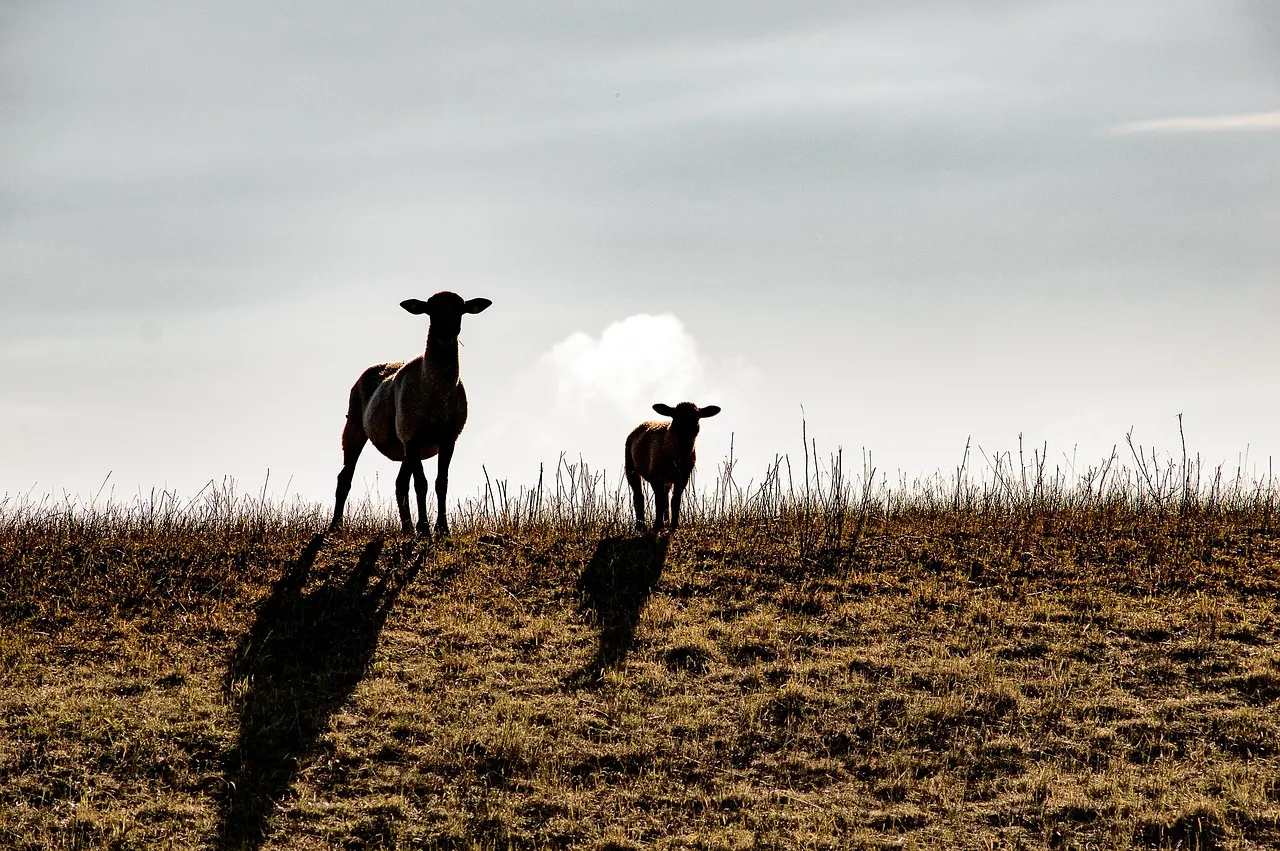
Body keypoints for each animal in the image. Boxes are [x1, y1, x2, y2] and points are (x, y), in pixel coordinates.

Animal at [330, 292, 492, 536]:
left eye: (461, 309)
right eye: (431, 310)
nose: (447, 331)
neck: (436, 396)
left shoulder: (447, 438)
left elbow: (441, 482)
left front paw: (442, 529)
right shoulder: (412, 436)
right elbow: (421, 484)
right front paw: (425, 529)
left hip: (404, 444)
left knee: (399, 484)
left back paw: (407, 529)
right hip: (356, 426)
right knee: (345, 477)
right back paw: (335, 526)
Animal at [625, 402, 721, 533]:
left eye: (697, 417)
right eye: (675, 416)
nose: (686, 432)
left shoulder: (683, 477)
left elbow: (675, 500)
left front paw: (674, 526)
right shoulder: (655, 475)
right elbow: (659, 501)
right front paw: (657, 526)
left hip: (667, 480)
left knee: (666, 498)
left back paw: (665, 522)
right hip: (630, 466)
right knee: (639, 496)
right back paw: (641, 527)